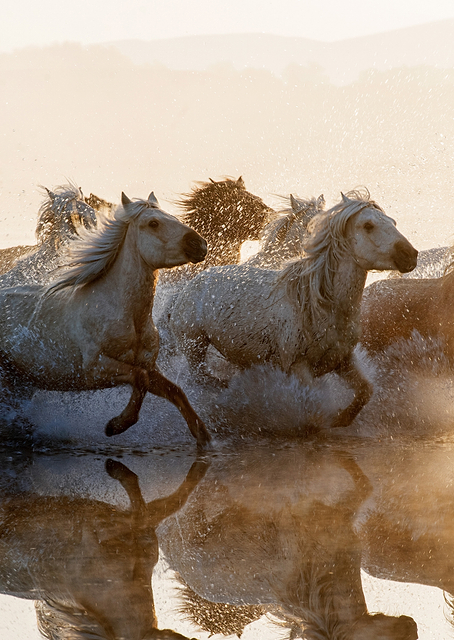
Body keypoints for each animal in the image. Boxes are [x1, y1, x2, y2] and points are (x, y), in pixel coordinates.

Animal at [0, 192, 211, 448]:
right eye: (153, 223)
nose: (199, 244)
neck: (128, 317)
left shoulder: (150, 367)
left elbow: (174, 391)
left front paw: (204, 438)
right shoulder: (95, 369)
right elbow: (139, 379)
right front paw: (115, 426)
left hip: (20, 380)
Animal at [169, 190, 418, 429]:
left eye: (393, 222)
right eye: (368, 225)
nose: (410, 255)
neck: (318, 305)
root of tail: (197, 279)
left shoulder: (343, 360)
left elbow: (366, 391)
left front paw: (341, 419)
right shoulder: (299, 366)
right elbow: (315, 413)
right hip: (194, 345)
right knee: (200, 378)